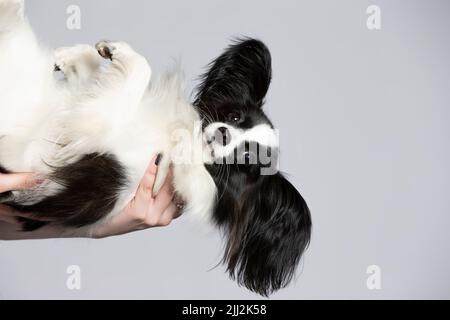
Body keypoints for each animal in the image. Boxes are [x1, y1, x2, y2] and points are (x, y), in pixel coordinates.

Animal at [0, 0, 312, 296]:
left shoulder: (68, 141)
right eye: (234, 117)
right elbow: (102, 80)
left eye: (245, 159)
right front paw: (79, 56)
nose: (223, 133)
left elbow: (132, 78)